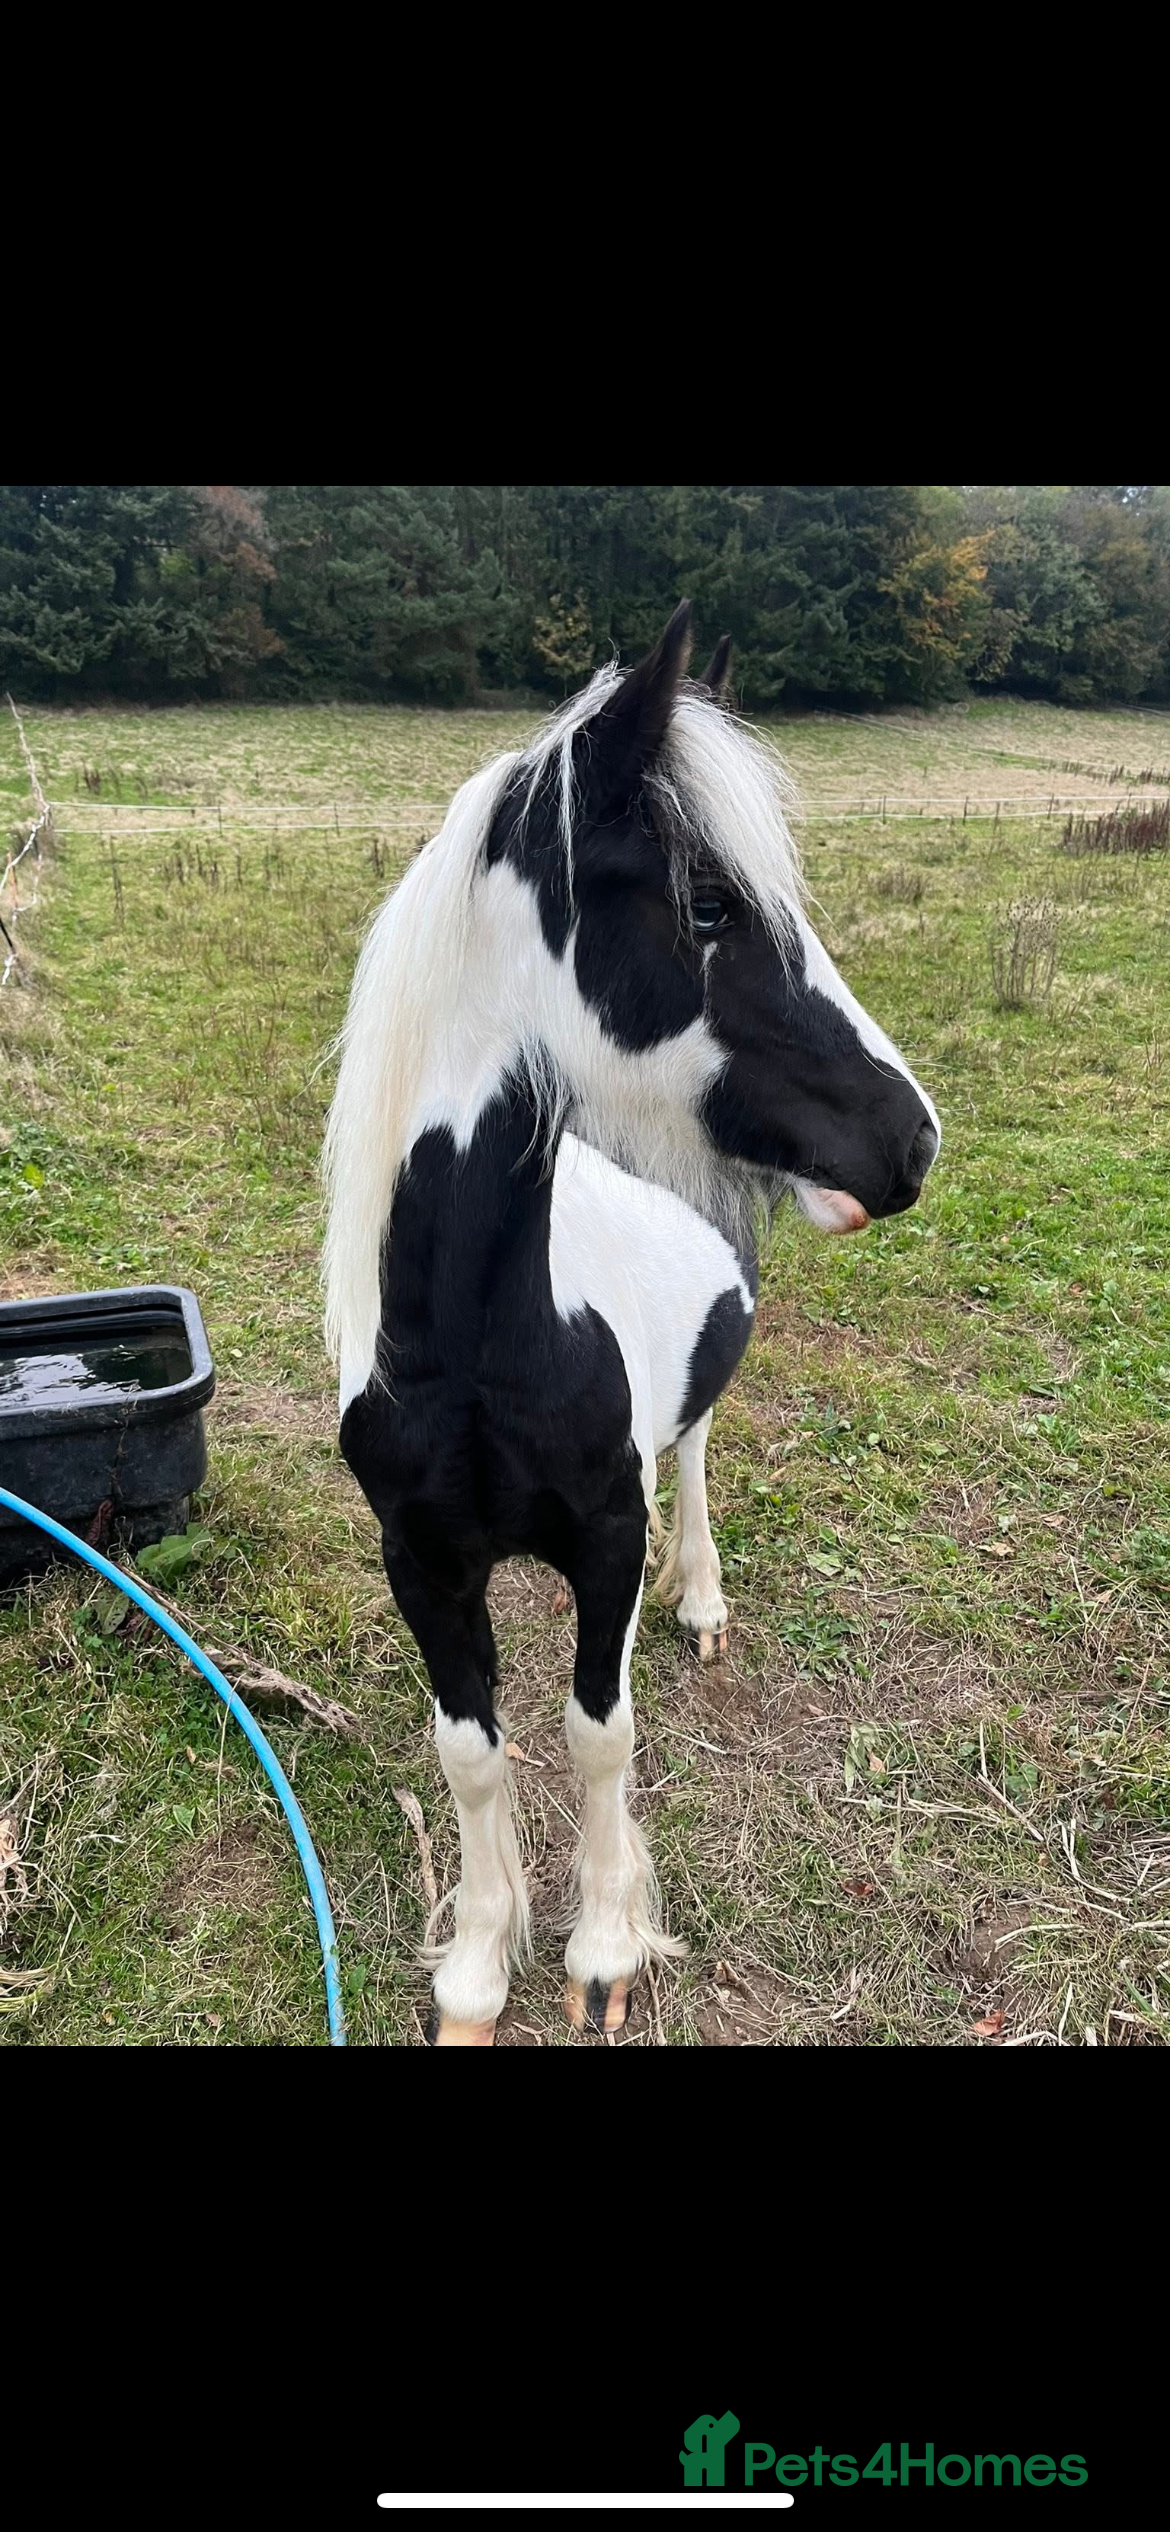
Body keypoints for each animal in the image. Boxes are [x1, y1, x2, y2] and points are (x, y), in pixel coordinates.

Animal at [323, 602, 940, 2046]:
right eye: (706, 905)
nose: (910, 1139)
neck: (475, 1359)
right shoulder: (420, 1561)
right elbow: (473, 1752)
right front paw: (478, 1966)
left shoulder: (601, 1540)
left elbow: (597, 1730)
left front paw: (602, 1950)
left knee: (697, 1451)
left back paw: (701, 1597)